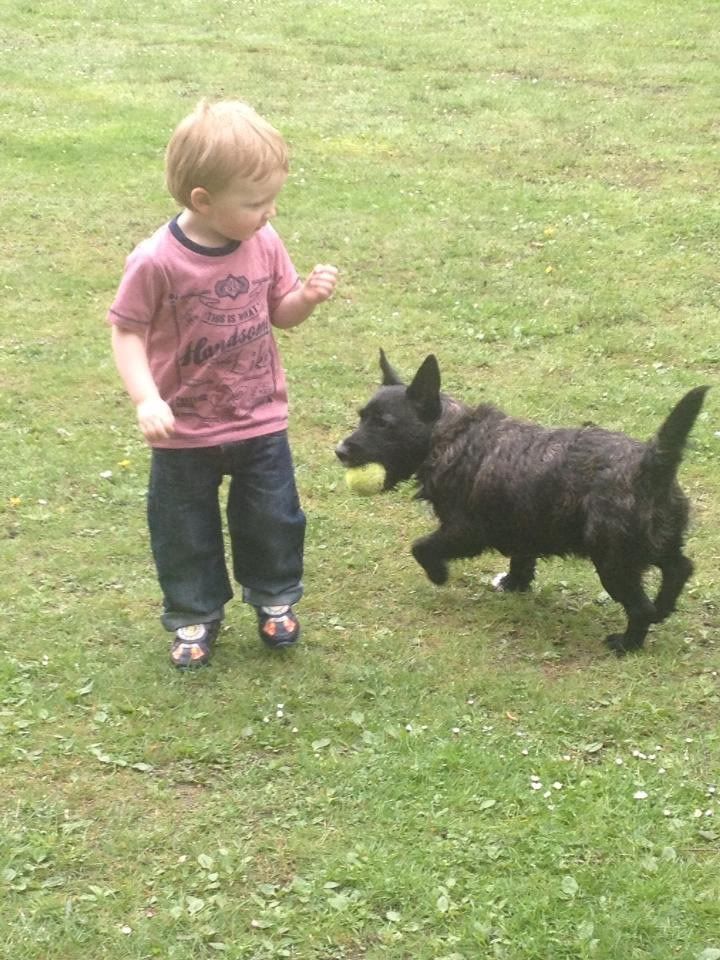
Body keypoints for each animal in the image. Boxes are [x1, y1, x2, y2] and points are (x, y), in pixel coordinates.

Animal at [338, 348, 708, 656]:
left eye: (384, 424)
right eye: (361, 416)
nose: (340, 450)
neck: (450, 434)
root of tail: (651, 463)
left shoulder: (465, 531)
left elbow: (421, 547)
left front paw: (439, 574)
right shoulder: (522, 526)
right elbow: (521, 558)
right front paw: (515, 584)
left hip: (613, 562)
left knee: (641, 606)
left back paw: (627, 643)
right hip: (651, 545)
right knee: (680, 568)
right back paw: (663, 608)